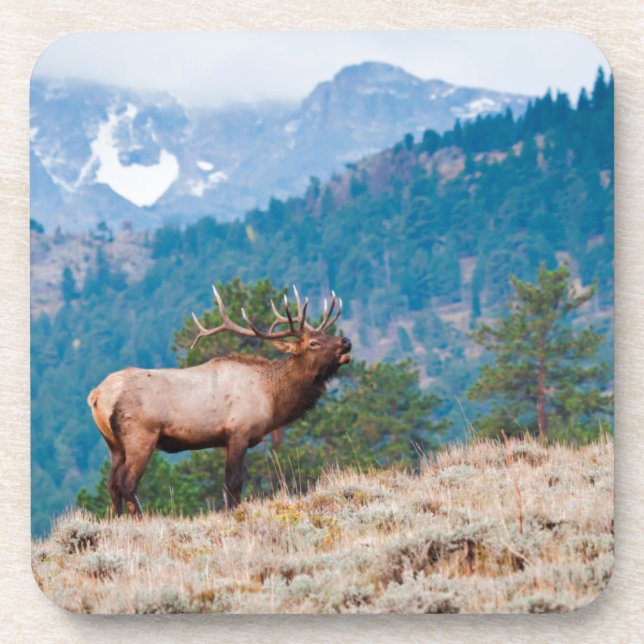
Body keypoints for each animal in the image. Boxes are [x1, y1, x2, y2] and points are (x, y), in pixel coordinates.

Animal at [87, 285, 352, 517]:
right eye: (313, 343)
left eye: (324, 333)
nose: (346, 341)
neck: (271, 398)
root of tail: (97, 395)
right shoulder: (239, 431)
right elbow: (234, 483)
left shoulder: (226, 438)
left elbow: (227, 485)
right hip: (140, 436)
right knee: (127, 483)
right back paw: (141, 520)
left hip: (114, 444)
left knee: (111, 484)